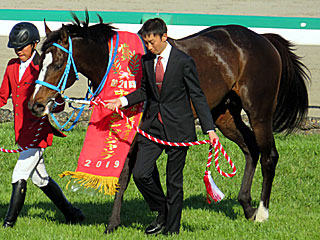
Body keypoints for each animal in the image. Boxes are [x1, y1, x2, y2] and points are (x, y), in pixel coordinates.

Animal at [28, 12, 310, 232]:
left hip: (259, 112)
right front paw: (150, 217)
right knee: (250, 148)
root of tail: (263, 39)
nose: (36, 105)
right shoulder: (143, 135)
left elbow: (128, 175)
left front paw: (118, 222)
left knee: (269, 155)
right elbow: (140, 174)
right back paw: (247, 206)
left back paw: (261, 212)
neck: (117, 65)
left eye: (58, 63)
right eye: (39, 60)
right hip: (224, 115)